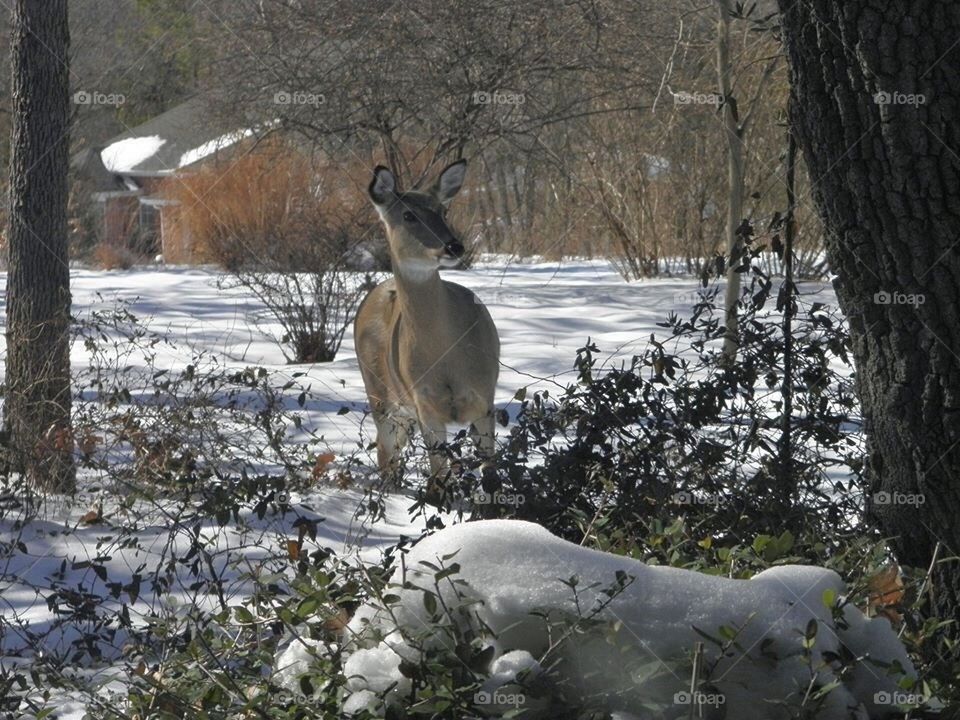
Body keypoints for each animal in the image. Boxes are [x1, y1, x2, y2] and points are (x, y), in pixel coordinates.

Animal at [354, 160, 500, 499]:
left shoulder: (485, 397)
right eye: (409, 215)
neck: (447, 356)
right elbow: (438, 480)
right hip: (378, 393)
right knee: (385, 453)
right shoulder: (425, 404)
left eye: (443, 210)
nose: (454, 246)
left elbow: (490, 476)